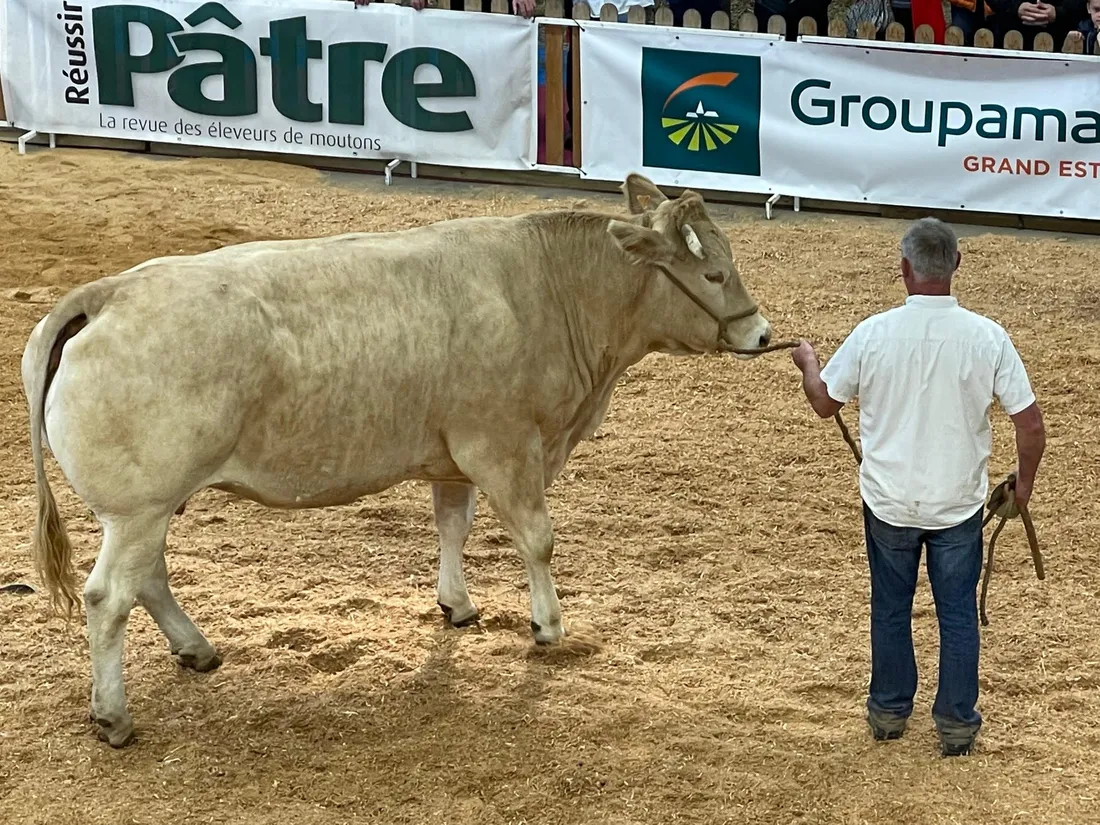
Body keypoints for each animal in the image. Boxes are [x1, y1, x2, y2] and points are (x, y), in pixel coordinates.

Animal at [21, 173, 773, 747]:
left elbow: (453, 528)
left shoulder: (454, 453)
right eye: (713, 272)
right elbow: (537, 537)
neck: (547, 288)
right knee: (108, 596)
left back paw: (196, 648)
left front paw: (458, 604)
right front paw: (548, 625)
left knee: (148, 578)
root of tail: (104, 293)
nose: (762, 334)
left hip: (150, 505)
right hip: (139, 506)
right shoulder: (502, 443)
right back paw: (114, 716)